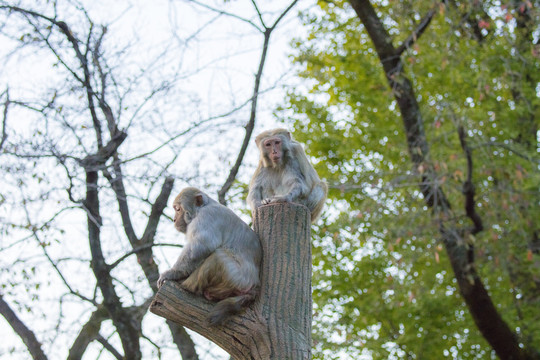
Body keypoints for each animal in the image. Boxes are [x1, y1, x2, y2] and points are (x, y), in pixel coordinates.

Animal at [157, 188, 262, 326]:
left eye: (178, 209)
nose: (174, 219)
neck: (204, 207)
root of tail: (255, 285)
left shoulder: (206, 217)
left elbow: (201, 246)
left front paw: (171, 273)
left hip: (236, 279)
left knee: (217, 257)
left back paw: (186, 285)